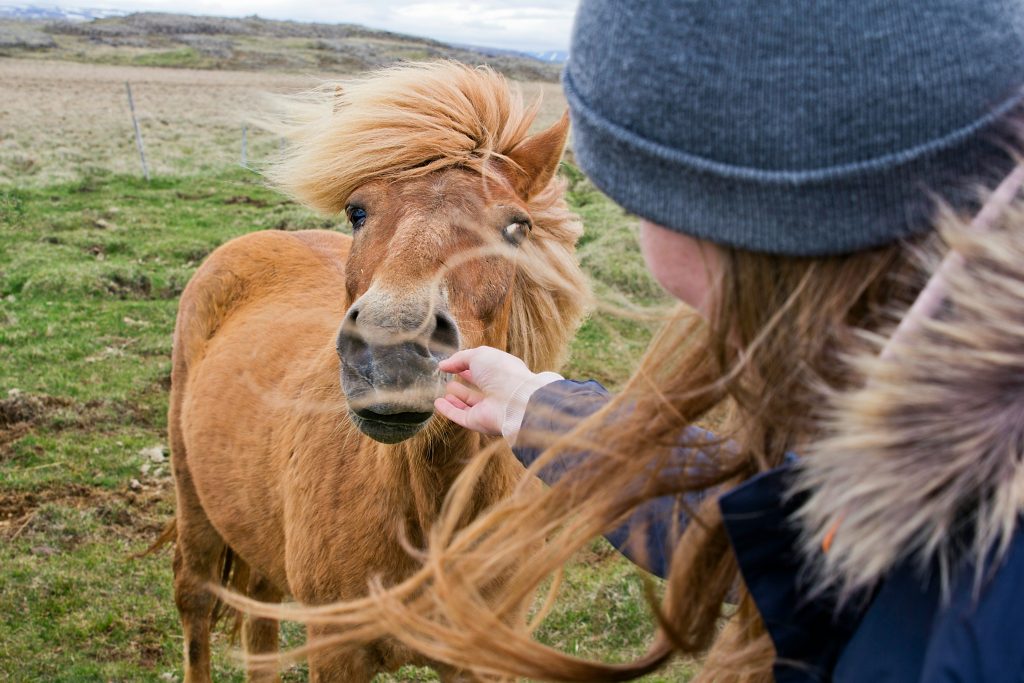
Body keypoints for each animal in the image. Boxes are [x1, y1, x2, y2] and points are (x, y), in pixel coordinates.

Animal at [164, 61, 589, 679]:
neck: (430, 518)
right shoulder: (336, 647)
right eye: (356, 211)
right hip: (194, 501)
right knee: (196, 601)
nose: (391, 355)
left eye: (517, 227)